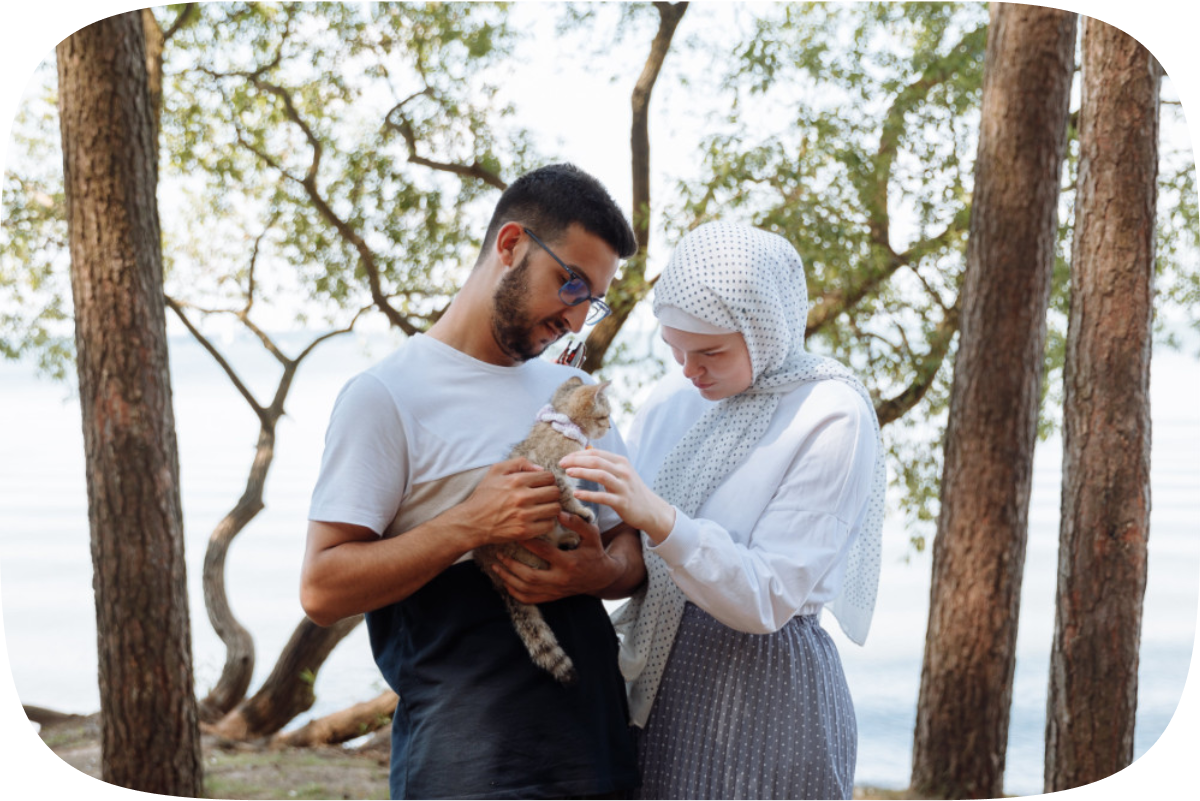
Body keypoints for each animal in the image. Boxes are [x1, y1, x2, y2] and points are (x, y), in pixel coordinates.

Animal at [472, 378, 614, 685]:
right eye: (606, 416)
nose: (610, 427)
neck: (561, 426)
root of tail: (494, 577)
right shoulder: (552, 474)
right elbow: (567, 498)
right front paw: (581, 513)